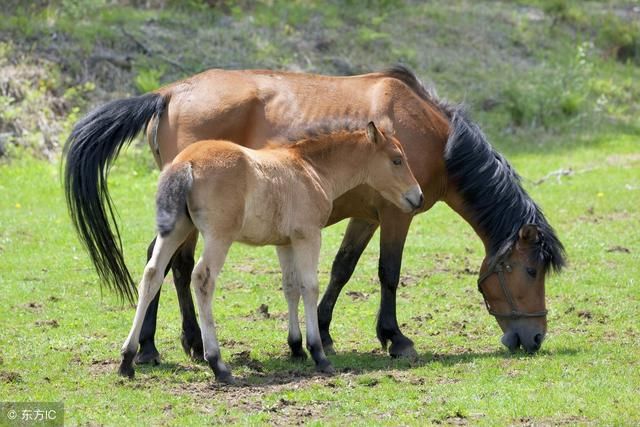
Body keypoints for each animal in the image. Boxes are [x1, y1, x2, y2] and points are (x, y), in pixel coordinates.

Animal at [65, 65, 564, 362]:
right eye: (530, 271)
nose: (535, 338)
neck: (430, 135)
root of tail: (169, 93)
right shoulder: (397, 213)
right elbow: (388, 273)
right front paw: (395, 338)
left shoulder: (368, 216)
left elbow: (343, 269)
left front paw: (322, 331)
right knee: (171, 263)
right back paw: (151, 348)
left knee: (173, 264)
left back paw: (179, 342)